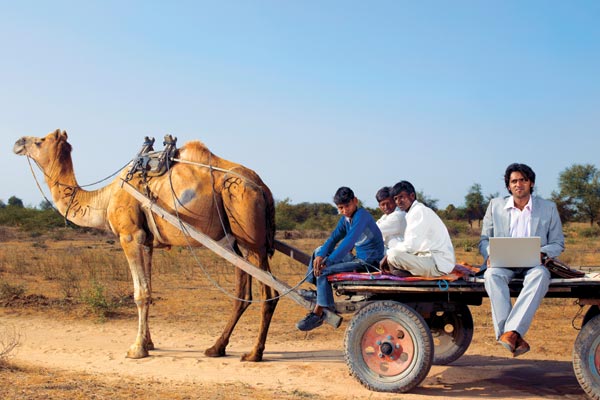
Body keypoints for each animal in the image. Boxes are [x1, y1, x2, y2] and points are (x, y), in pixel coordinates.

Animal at [11, 130, 278, 360]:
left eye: (40, 141)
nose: (17, 142)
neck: (105, 198)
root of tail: (264, 189)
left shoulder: (130, 236)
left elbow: (140, 293)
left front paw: (136, 349)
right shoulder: (148, 242)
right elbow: (149, 290)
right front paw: (148, 343)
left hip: (250, 234)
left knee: (270, 292)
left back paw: (254, 353)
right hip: (233, 241)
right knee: (243, 292)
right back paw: (216, 347)